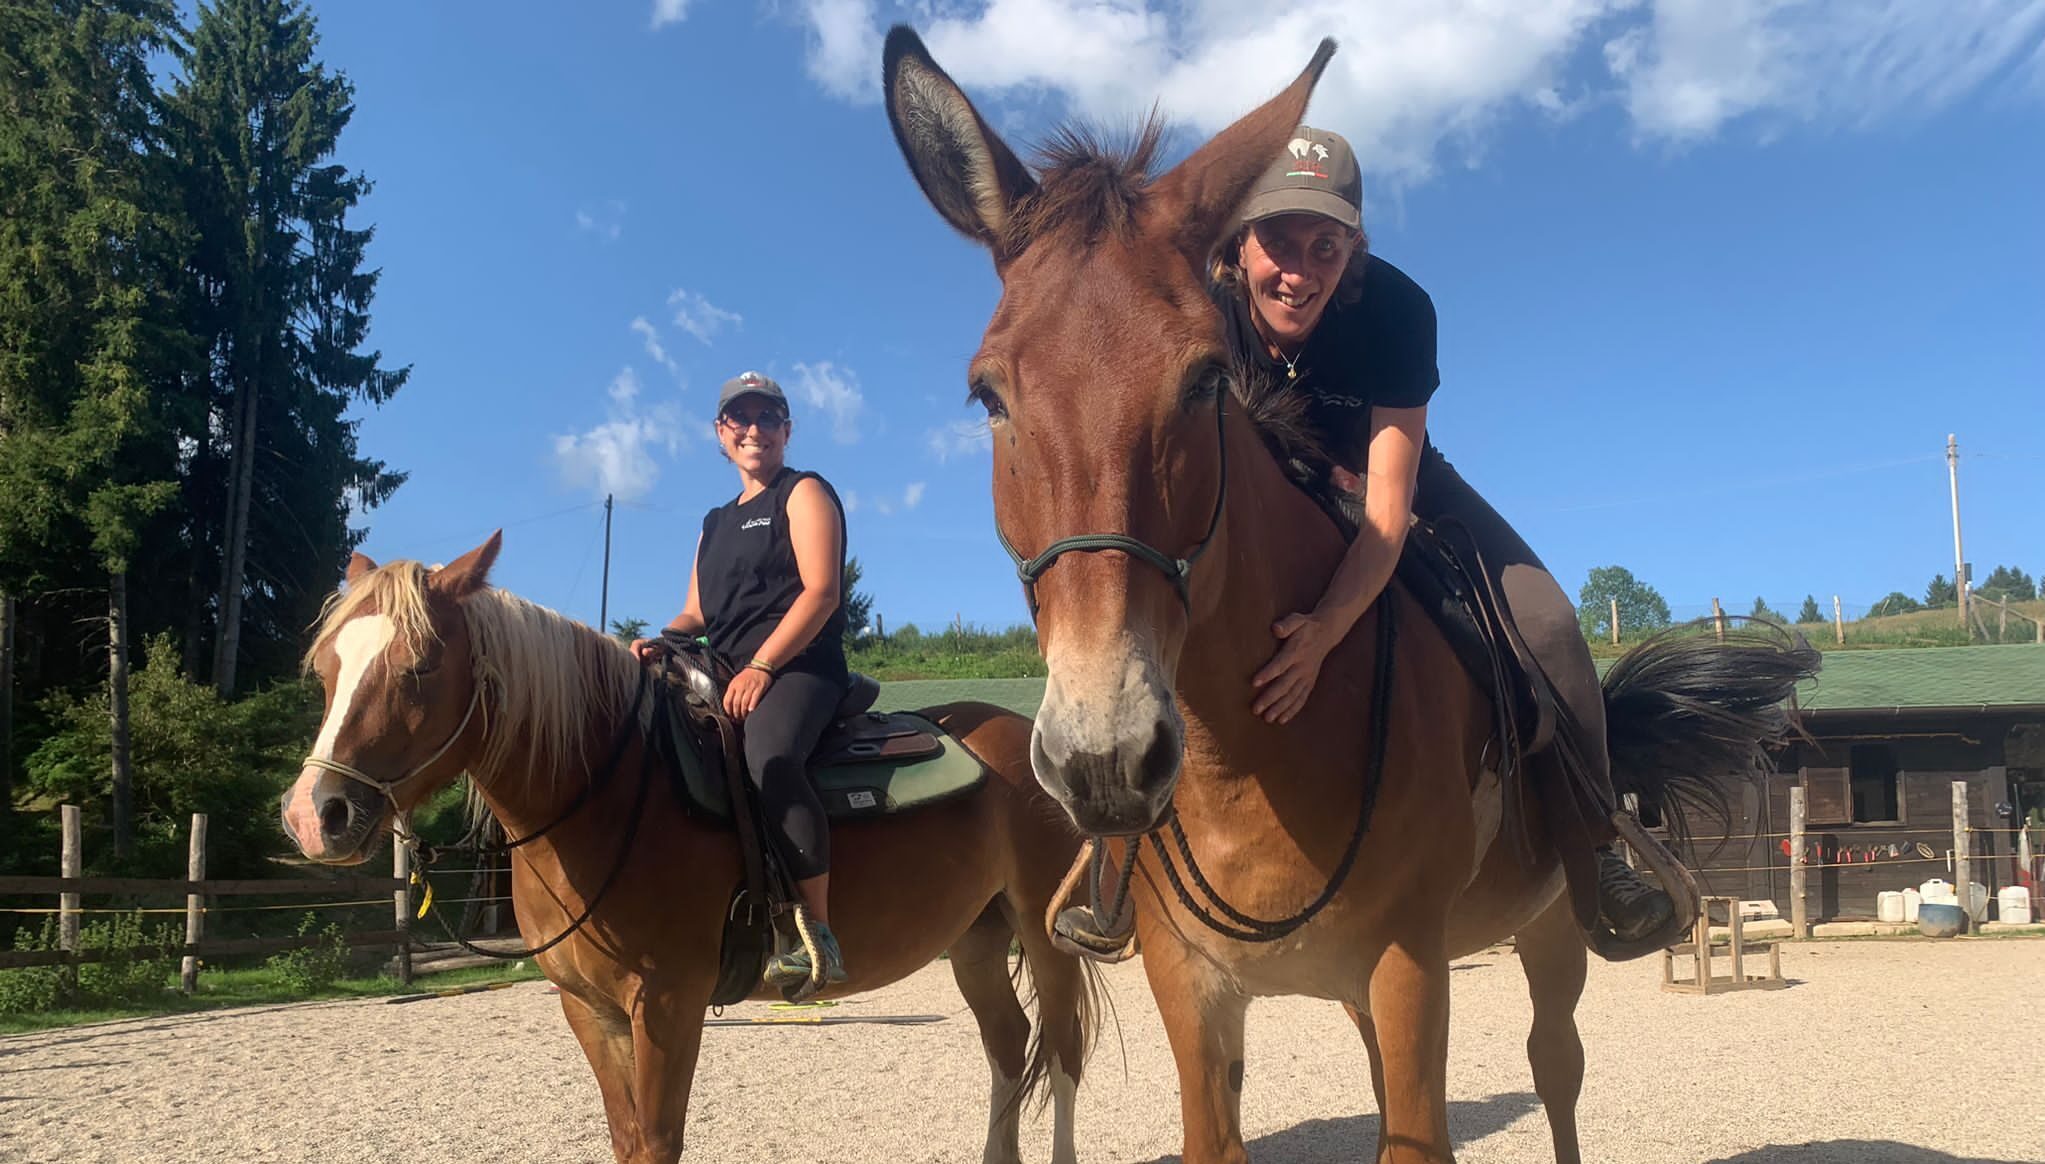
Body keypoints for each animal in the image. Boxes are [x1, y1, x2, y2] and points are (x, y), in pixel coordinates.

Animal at [279, 532, 1099, 1164]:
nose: (315, 815)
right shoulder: (590, 1010)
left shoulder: (668, 1004)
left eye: (420, 665)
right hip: (977, 937)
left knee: (1060, 1057)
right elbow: (626, 1138)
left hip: (1045, 935)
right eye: (324, 670)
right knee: (1007, 1046)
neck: (607, 796)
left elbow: (658, 1141)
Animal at [880, 28, 1816, 1164]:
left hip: (1549, 929)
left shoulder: (1409, 966)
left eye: (1204, 379)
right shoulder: (1191, 988)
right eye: (989, 394)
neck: (1247, 759)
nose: (1105, 757)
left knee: (1555, 1068)